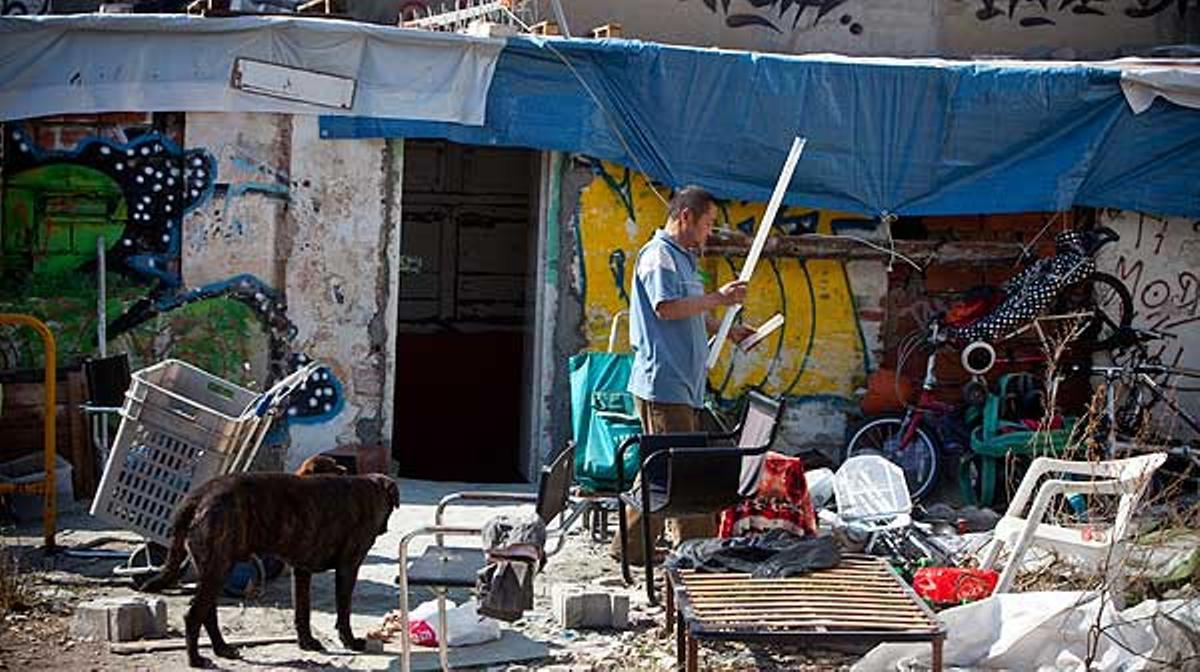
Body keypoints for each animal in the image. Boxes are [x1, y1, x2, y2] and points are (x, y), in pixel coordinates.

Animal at [143, 472, 398, 667]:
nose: (386, 528)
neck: (369, 491)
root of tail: (200, 494)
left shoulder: (301, 571)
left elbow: (302, 611)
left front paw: (307, 642)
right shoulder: (348, 568)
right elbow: (344, 611)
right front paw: (351, 641)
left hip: (214, 571)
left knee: (208, 613)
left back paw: (222, 649)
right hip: (217, 570)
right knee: (194, 615)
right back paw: (195, 659)